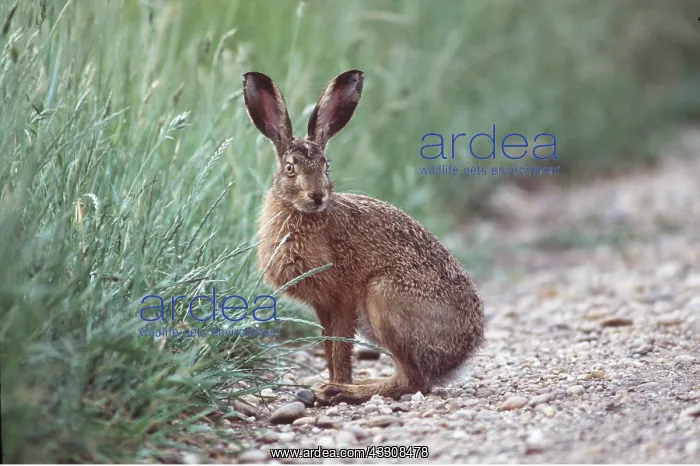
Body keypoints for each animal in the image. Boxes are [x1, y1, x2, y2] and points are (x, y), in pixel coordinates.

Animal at [242, 69, 485, 405]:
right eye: (290, 168)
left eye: (326, 166)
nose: (317, 196)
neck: (305, 214)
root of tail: (459, 356)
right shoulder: (322, 305)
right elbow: (329, 346)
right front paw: (327, 382)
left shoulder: (343, 297)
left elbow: (340, 348)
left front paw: (333, 385)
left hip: (384, 298)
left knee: (412, 381)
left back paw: (346, 390)